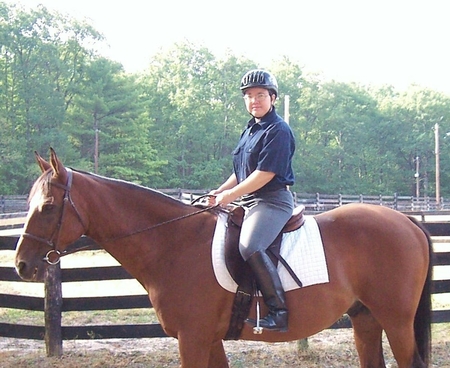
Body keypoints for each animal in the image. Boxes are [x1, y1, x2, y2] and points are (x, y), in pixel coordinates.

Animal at [14, 150, 432, 368]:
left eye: (48, 206)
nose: (22, 265)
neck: (173, 242)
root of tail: (408, 222)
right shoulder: (208, 339)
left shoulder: (192, 339)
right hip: (366, 318)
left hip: (396, 321)